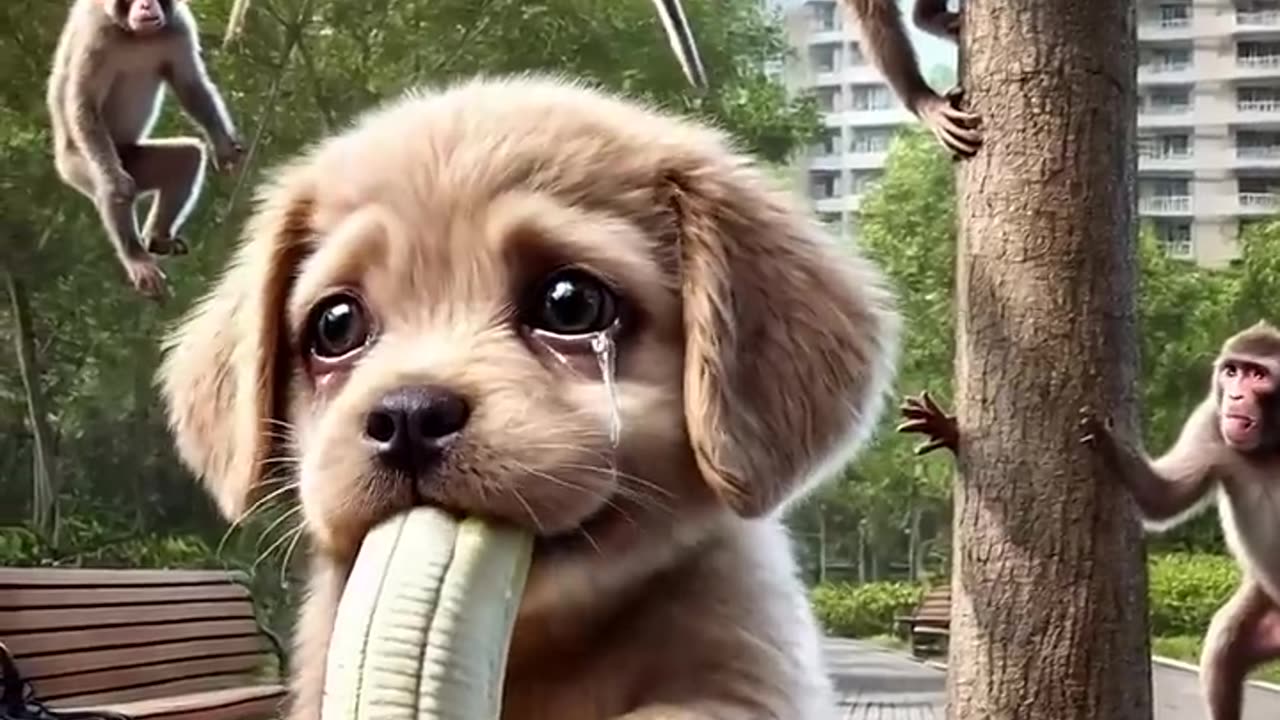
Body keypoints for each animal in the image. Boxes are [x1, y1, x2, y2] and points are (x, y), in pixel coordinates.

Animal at [47, 0, 243, 300]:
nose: (145, 3)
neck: (134, 35)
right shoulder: (97, 36)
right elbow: (84, 105)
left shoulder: (178, 28)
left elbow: (190, 85)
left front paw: (221, 145)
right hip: (78, 162)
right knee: (111, 188)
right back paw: (136, 257)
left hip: (134, 159)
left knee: (186, 159)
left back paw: (158, 238)